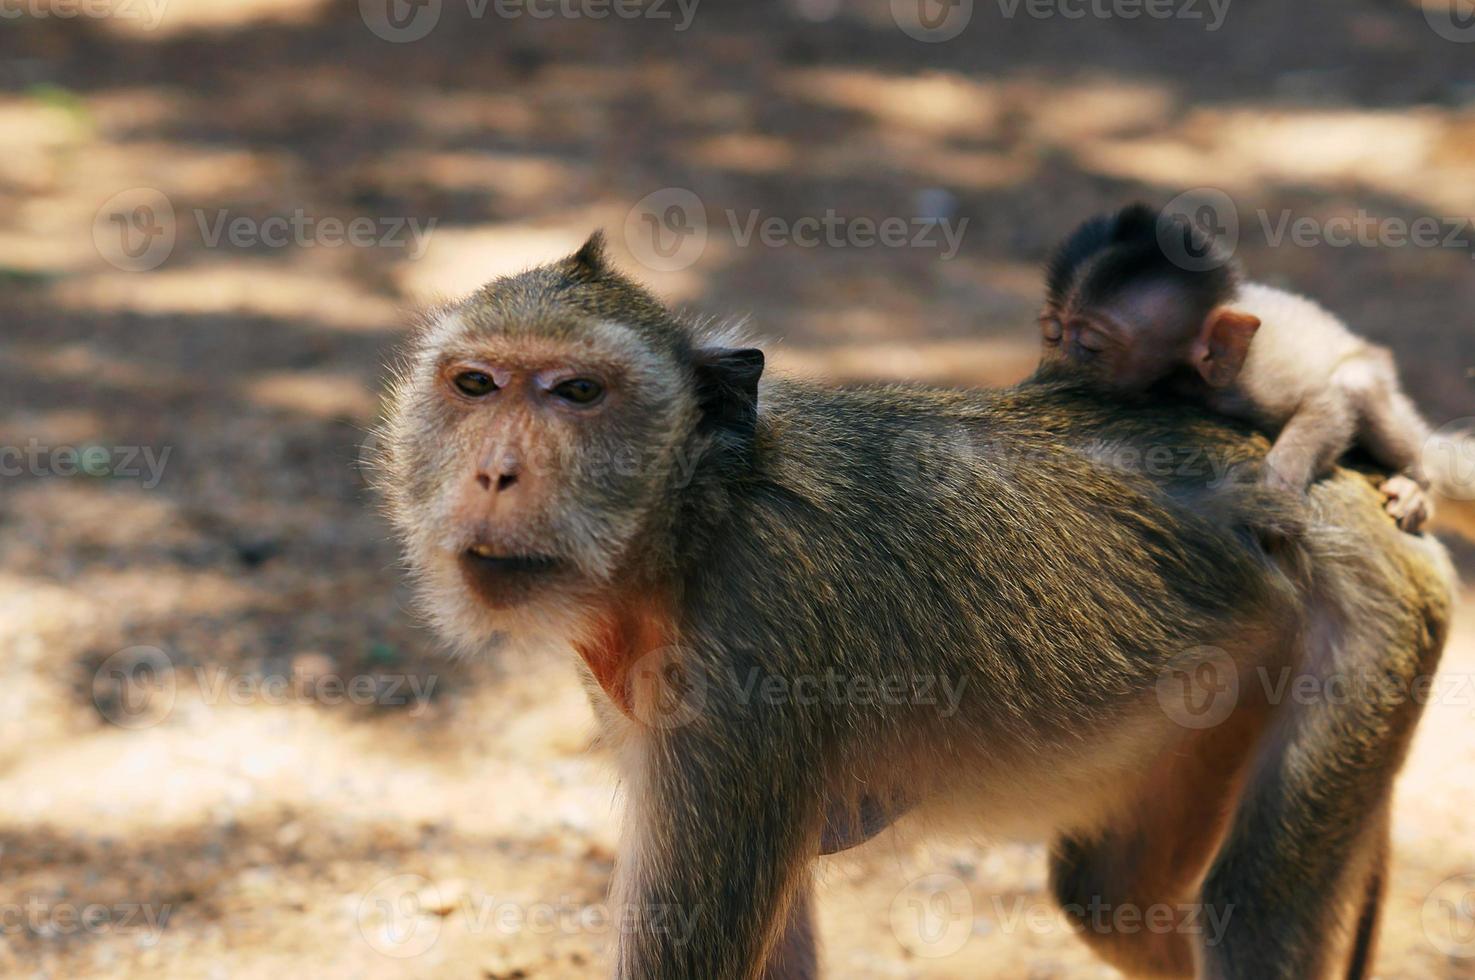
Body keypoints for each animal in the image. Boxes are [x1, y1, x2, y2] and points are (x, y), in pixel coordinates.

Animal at [1038, 202, 1427, 531]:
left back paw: (1417, 483)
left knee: (1356, 381)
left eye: (1092, 347)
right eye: (1053, 334)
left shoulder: (1250, 385)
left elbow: (1328, 404)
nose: (1058, 366)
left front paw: (1276, 490)